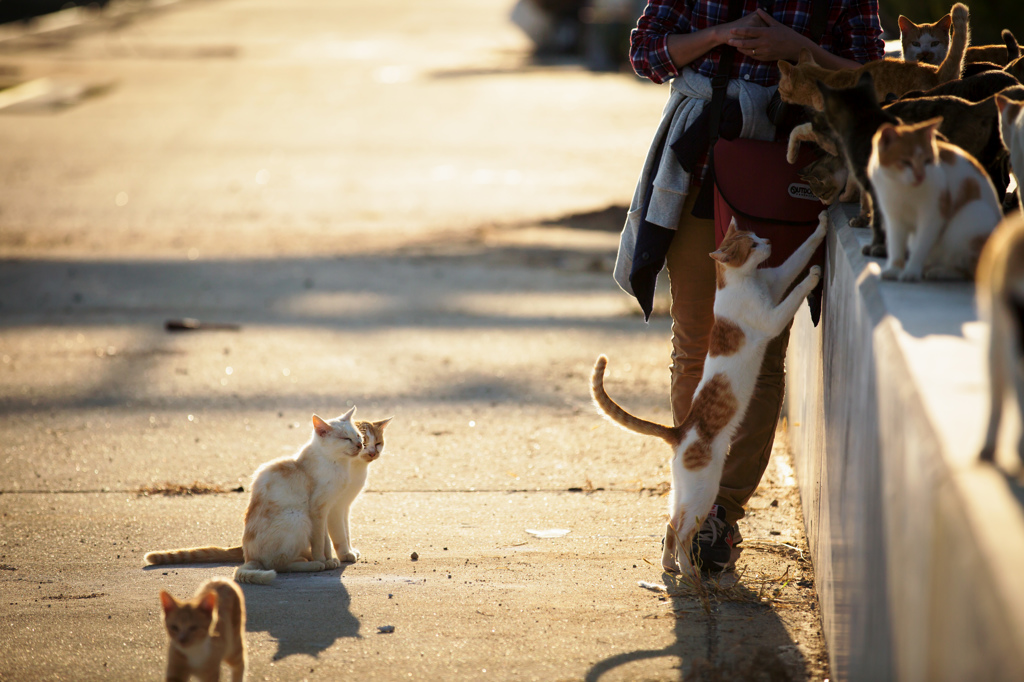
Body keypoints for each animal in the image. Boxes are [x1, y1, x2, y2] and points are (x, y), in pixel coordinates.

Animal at [146, 405, 393, 581]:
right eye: (347, 438)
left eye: (359, 437)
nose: (361, 447)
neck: (337, 464)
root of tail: (249, 556)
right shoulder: (320, 509)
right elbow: (322, 540)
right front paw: (325, 560)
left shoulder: (333, 507)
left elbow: (330, 538)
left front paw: (332, 558)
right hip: (298, 517)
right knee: (278, 565)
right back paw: (312, 563)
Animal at [589, 214, 827, 573]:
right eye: (752, 244)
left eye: (757, 234)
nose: (769, 241)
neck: (742, 281)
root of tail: (680, 430)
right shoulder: (772, 317)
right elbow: (796, 290)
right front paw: (813, 276)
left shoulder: (775, 278)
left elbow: (799, 254)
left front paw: (823, 224)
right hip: (705, 490)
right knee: (682, 529)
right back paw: (690, 573)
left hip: (682, 491)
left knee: (670, 522)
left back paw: (671, 566)